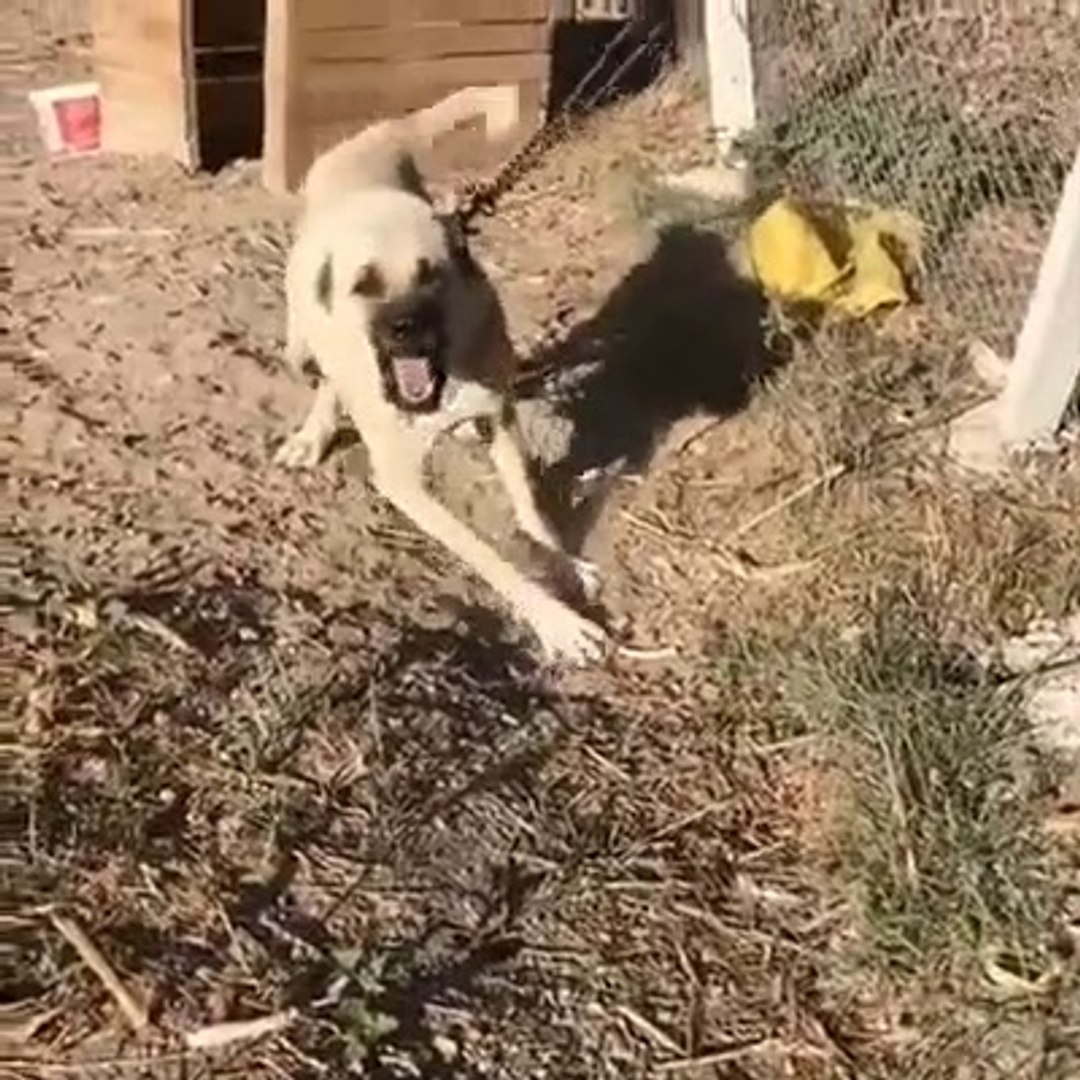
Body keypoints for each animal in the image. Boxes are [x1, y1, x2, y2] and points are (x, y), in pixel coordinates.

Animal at [276, 86, 609, 665]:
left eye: (430, 275)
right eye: (365, 284)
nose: (406, 328)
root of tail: (378, 134)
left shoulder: (500, 419)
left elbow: (532, 511)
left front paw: (565, 565)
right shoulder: (407, 484)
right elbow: (490, 555)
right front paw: (558, 622)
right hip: (302, 331)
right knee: (320, 368)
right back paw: (313, 430)